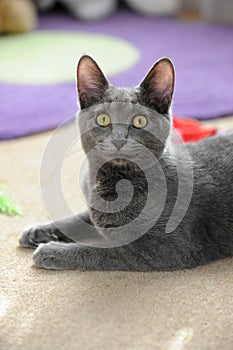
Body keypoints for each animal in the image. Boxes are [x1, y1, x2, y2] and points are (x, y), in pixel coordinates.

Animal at [19, 56, 233, 270]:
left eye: (140, 121)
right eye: (103, 119)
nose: (119, 139)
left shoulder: (169, 247)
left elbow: (101, 251)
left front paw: (50, 251)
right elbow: (78, 219)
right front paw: (36, 232)